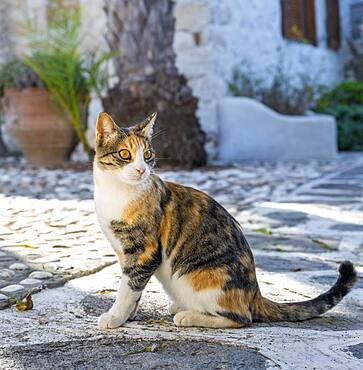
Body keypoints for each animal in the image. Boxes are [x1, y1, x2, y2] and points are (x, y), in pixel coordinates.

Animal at [94, 111, 358, 328]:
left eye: (147, 154)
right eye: (125, 154)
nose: (142, 170)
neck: (116, 193)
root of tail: (255, 293)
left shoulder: (144, 252)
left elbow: (128, 287)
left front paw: (115, 316)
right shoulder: (125, 253)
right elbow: (133, 288)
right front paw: (127, 316)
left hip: (196, 277)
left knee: (242, 317)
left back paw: (188, 316)